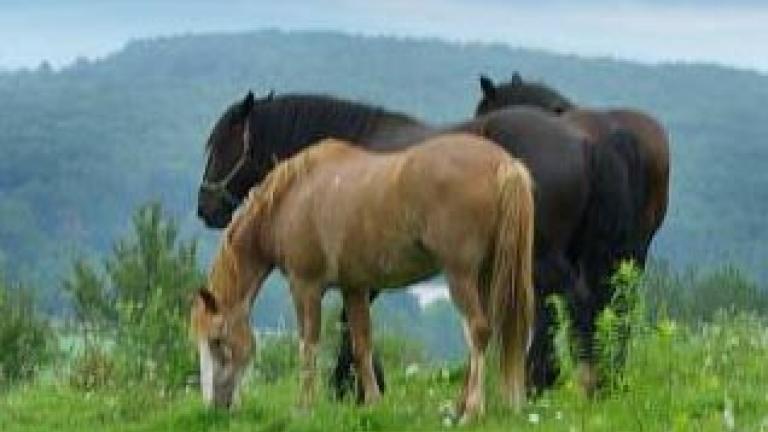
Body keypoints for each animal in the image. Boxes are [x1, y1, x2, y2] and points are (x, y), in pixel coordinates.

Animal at [190, 135, 536, 422]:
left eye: (217, 340)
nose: (214, 406)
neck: (294, 196)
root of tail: (505, 164)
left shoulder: (305, 287)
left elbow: (308, 346)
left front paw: (304, 408)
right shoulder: (354, 288)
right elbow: (361, 344)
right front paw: (372, 404)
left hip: (460, 274)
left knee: (477, 330)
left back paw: (472, 411)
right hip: (486, 274)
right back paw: (461, 407)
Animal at [196, 92, 636, 394]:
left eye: (220, 146)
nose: (204, 208)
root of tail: (585, 144)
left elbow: (348, 325)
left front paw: (351, 386)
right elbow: (354, 325)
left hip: (541, 257)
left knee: (576, 302)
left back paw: (580, 380)